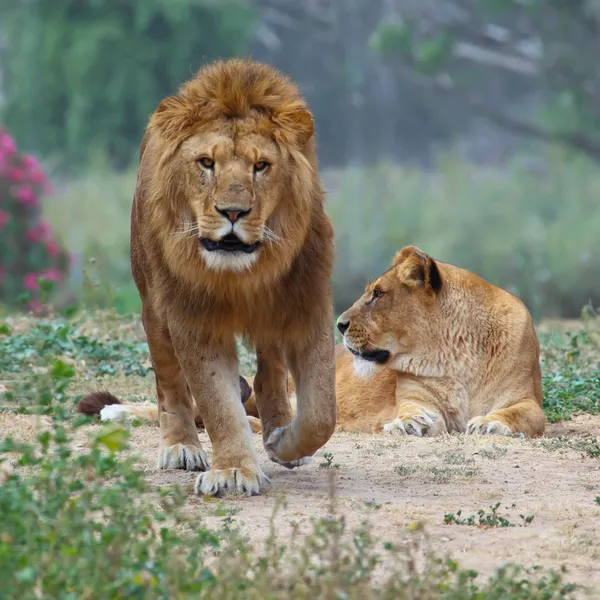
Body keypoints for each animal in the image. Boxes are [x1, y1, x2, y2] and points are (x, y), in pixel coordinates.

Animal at [78, 59, 338, 496]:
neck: (242, 276)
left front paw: (283, 443)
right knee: (169, 386)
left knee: (270, 372)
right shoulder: (193, 318)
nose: (232, 212)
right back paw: (180, 446)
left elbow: (322, 411)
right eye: (206, 163)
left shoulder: (308, 303)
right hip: (153, 309)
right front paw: (233, 470)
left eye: (261, 166)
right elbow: (216, 403)